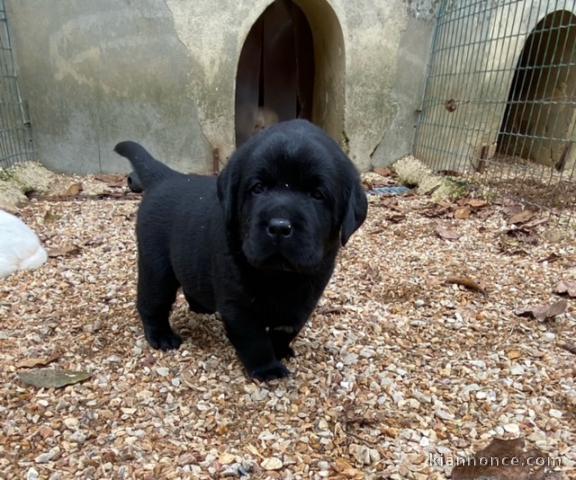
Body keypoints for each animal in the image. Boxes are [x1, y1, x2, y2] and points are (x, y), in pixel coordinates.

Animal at [115, 121, 366, 382]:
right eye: (258, 188)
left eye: (317, 195)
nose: (279, 227)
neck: (280, 276)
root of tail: (167, 177)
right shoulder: (238, 303)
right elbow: (254, 338)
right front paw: (267, 368)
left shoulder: (306, 295)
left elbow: (287, 328)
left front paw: (281, 349)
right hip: (156, 267)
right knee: (152, 302)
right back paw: (161, 336)